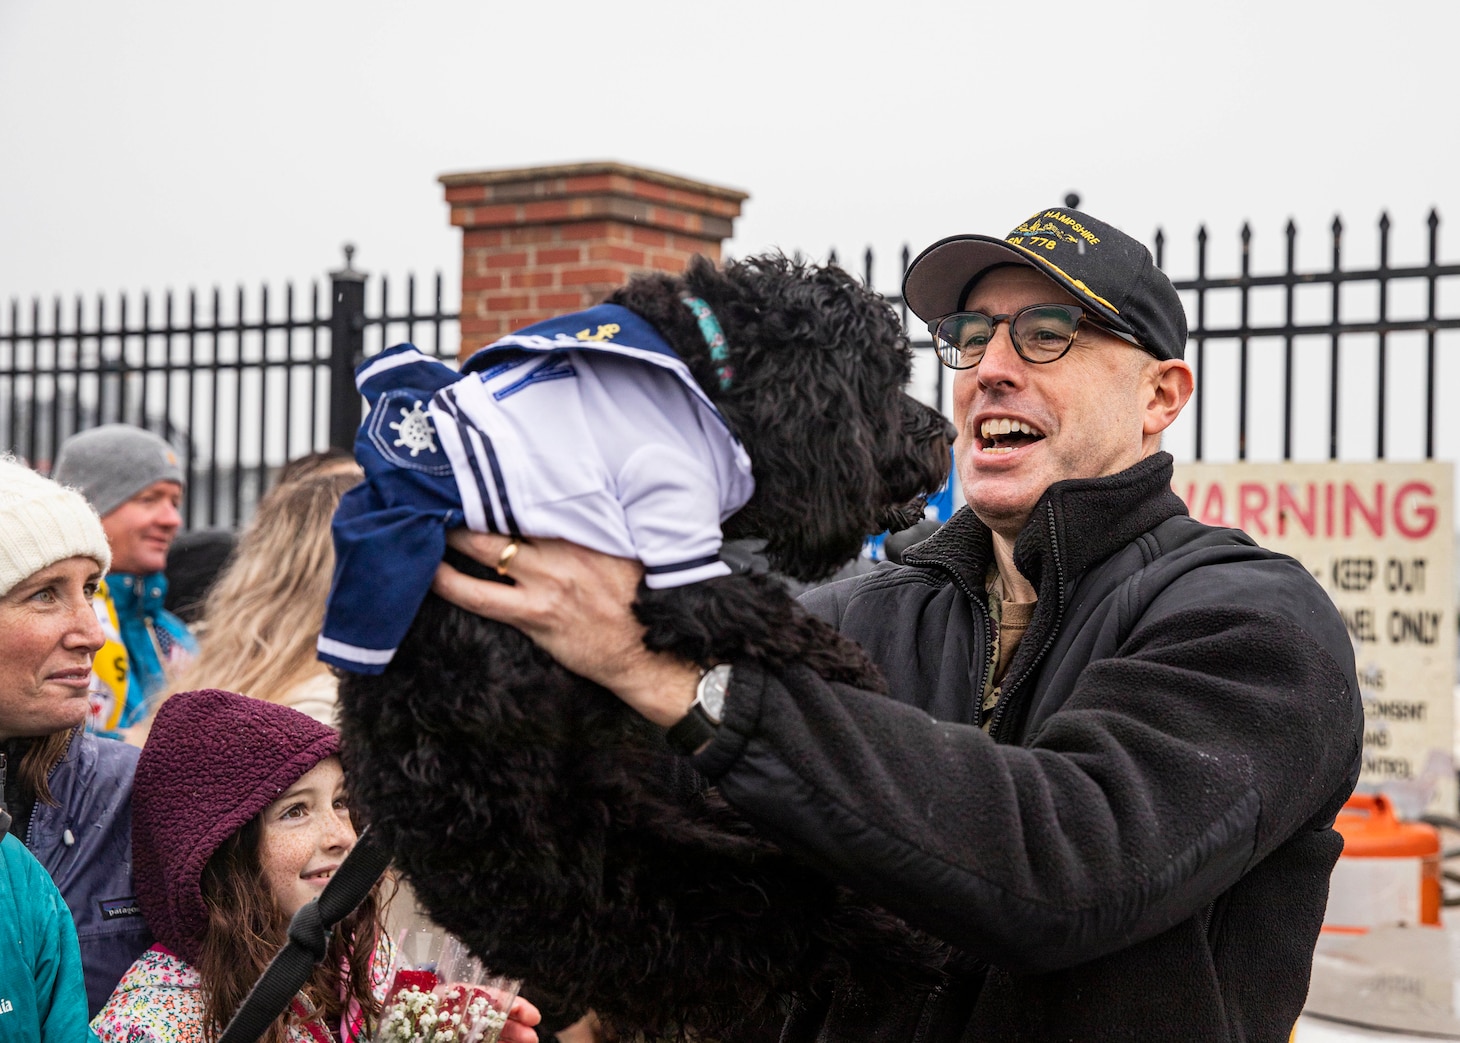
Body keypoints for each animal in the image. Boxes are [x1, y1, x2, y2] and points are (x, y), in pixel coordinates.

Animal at [340, 254, 957, 1040]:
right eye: (880, 380)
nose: (945, 431)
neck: (707, 365)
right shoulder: (673, 568)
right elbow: (768, 611)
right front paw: (853, 666)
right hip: (701, 895)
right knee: (818, 921)